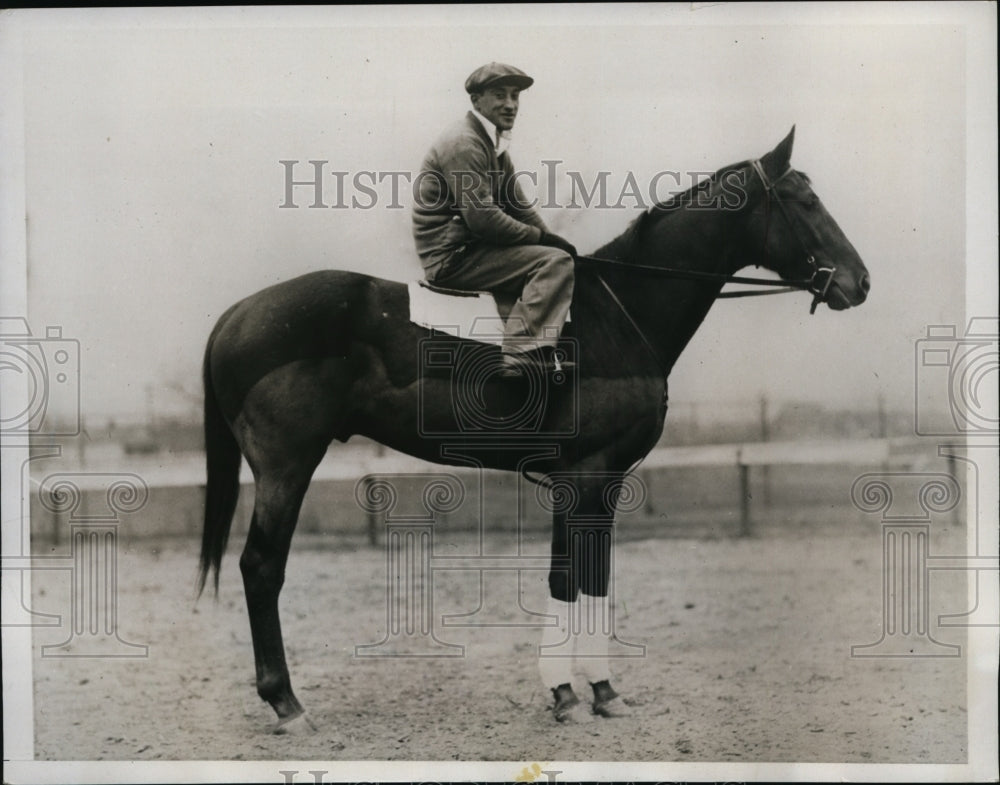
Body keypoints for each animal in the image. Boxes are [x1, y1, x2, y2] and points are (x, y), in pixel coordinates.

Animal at [195, 125, 868, 732]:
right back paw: (286, 703)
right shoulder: (590, 473)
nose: (858, 282)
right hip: (287, 465)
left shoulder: (589, 480)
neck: (617, 311)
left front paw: (585, 692)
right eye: (805, 202)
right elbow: (577, 577)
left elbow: (580, 577)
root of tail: (236, 314)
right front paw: (584, 691)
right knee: (260, 566)